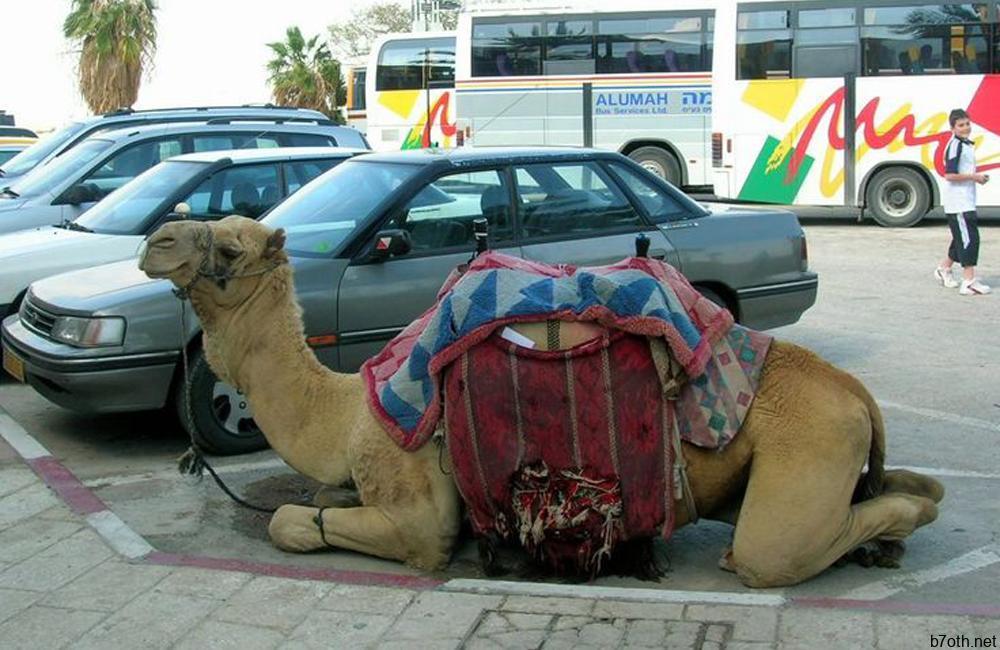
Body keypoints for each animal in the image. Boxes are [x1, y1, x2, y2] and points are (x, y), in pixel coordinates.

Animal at [139, 216, 944, 587]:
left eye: (231, 248)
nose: (157, 238)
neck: (345, 413)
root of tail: (855, 393)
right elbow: (316, 505)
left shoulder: (419, 509)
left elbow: (295, 526)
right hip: (829, 447)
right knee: (911, 485)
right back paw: (888, 537)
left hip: (803, 455)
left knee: (773, 549)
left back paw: (884, 540)